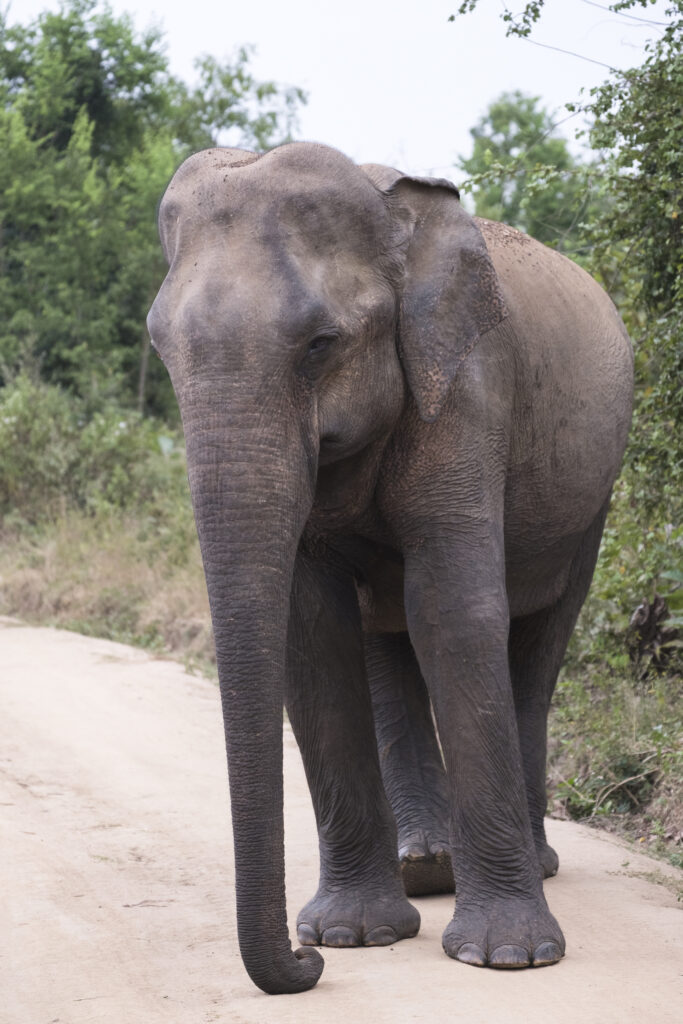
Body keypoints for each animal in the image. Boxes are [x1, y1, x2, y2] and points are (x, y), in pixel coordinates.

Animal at [147, 142, 633, 995]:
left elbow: (453, 610)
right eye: (159, 349)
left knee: (537, 647)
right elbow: (315, 634)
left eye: (319, 344)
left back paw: (524, 867)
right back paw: (424, 871)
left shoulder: (469, 384)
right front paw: (351, 937)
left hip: (592, 498)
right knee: (385, 636)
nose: (301, 963)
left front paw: (508, 957)